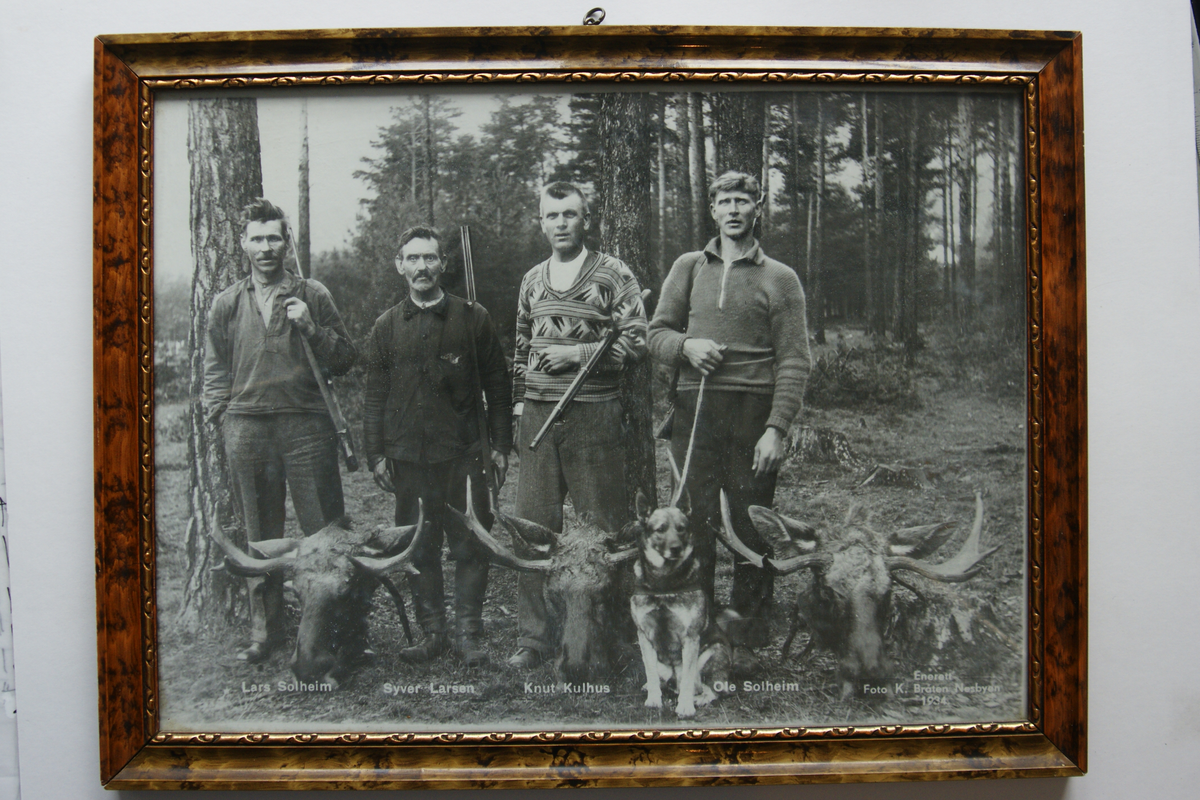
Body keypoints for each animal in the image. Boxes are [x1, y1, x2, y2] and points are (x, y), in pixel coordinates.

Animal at [624, 489, 734, 719]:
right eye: (660, 529)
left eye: (682, 528)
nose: (676, 549)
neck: (664, 584)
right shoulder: (643, 634)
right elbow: (650, 671)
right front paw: (654, 700)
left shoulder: (691, 637)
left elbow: (688, 677)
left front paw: (685, 707)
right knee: (664, 679)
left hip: (714, 652)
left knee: (711, 688)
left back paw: (698, 698)